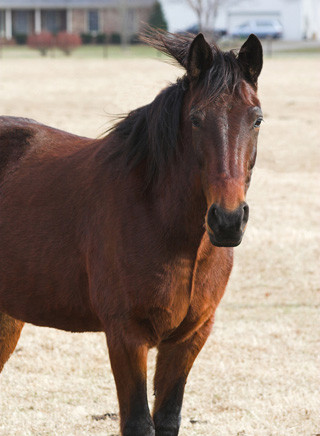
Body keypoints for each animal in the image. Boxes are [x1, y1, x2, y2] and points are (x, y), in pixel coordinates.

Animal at [0, 31, 262, 436]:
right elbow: (139, 422)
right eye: (196, 119)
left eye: (257, 119)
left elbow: (167, 419)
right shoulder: (126, 336)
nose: (228, 220)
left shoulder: (188, 338)